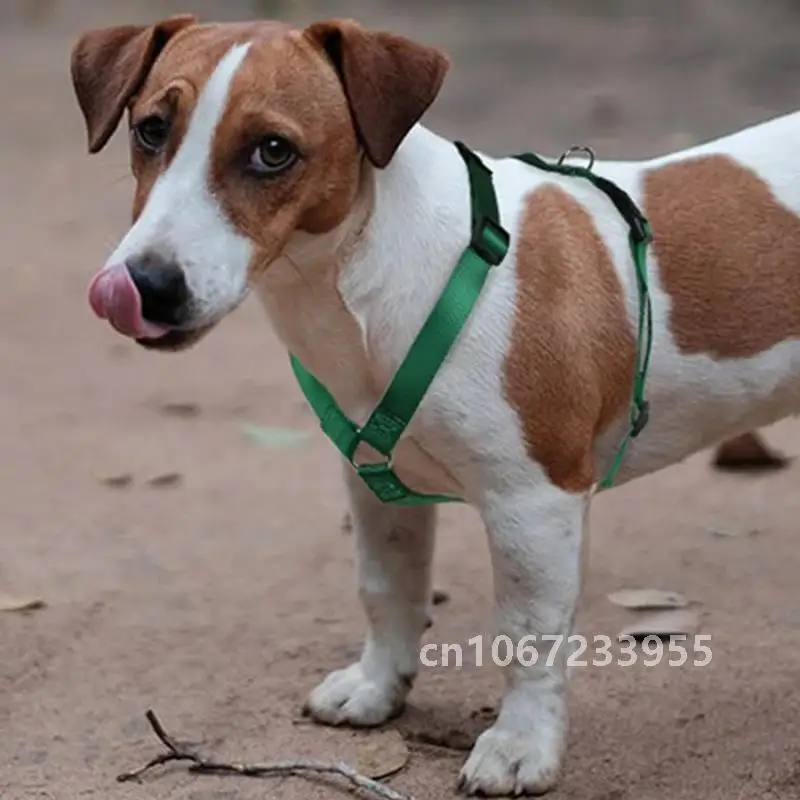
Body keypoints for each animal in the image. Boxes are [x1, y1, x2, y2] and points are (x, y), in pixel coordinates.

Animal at [71, 14, 800, 796]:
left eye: (272, 150)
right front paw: (377, 688)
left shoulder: (534, 503)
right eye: (150, 129)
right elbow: (387, 589)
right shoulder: (372, 484)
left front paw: (521, 745)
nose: (145, 285)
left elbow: (527, 634)